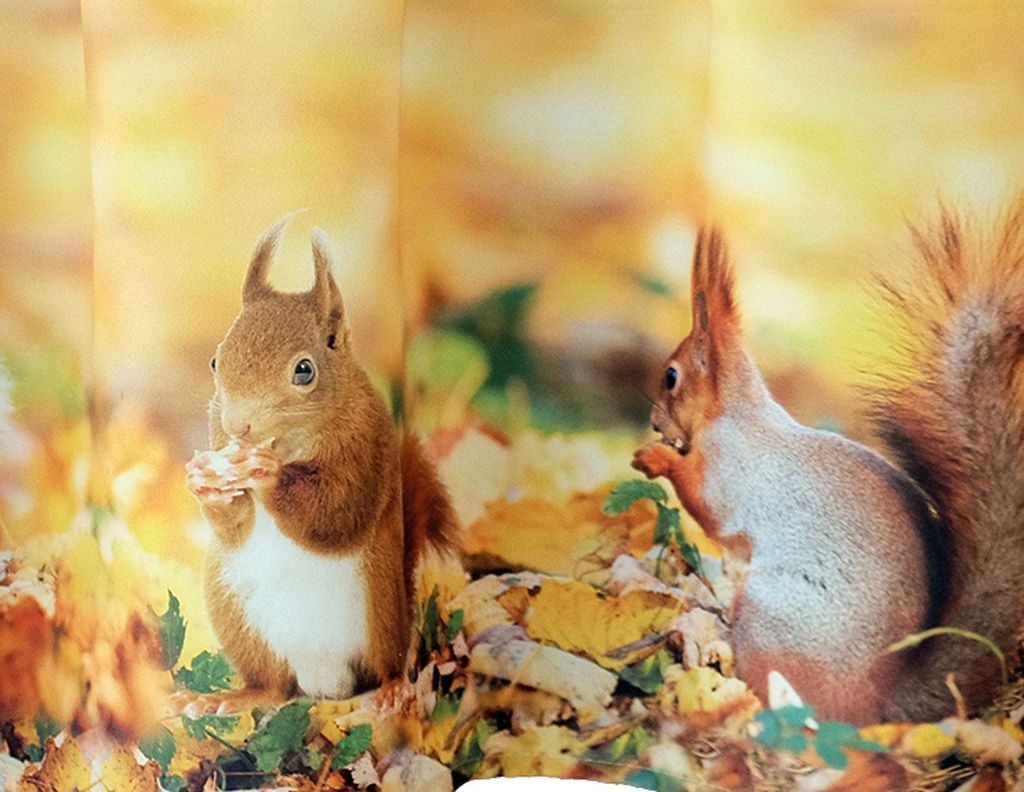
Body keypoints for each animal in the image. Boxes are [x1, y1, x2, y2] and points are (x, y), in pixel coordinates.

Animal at [185, 217, 458, 704]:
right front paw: (205, 482)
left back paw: (392, 689)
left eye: (304, 370)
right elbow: (233, 526)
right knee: (273, 687)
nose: (238, 426)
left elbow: (335, 513)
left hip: (380, 606)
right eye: (216, 360)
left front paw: (270, 476)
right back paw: (227, 699)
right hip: (235, 613)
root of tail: (324, 679)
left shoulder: (365, 445)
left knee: (385, 662)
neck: (291, 446)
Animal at [633, 208, 1024, 724]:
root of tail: (875, 701)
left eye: (671, 376)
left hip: (770, 620)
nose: (655, 423)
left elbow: (706, 504)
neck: (737, 414)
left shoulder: (731, 471)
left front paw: (655, 458)